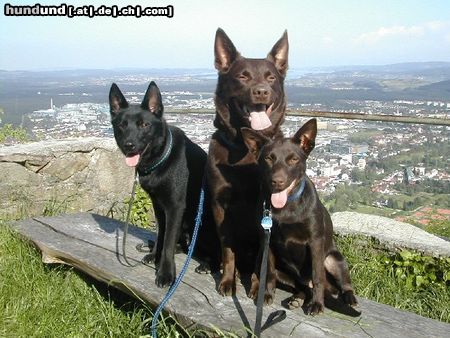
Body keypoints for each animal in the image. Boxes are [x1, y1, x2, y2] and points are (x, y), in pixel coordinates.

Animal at [110, 82, 221, 288]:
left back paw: (209, 265)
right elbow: (160, 234)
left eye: (144, 125)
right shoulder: (158, 206)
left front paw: (166, 273)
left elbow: (168, 241)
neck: (161, 158)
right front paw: (155, 255)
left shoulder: (174, 208)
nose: (129, 145)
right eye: (121, 125)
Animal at [207, 29, 288, 298]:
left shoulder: (266, 211)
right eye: (243, 76)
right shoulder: (219, 206)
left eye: (271, 77)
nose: (261, 91)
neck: (245, 148)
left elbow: (264, 254)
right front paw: (227, 281)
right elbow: (227, 248)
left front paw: (259, 285)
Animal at [244, 119, 356, 314]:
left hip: (333, 259)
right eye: (269, 158)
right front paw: (266, 295)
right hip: (286, 273)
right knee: (302, 287)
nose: (277, 182)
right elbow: (269, 273)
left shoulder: (315, 242)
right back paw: (297, 299)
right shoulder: (268, 240)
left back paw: (348, 298)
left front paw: (317, 304)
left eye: (293, 159)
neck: (286, 207)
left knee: (341, 283)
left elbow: (317, 276)